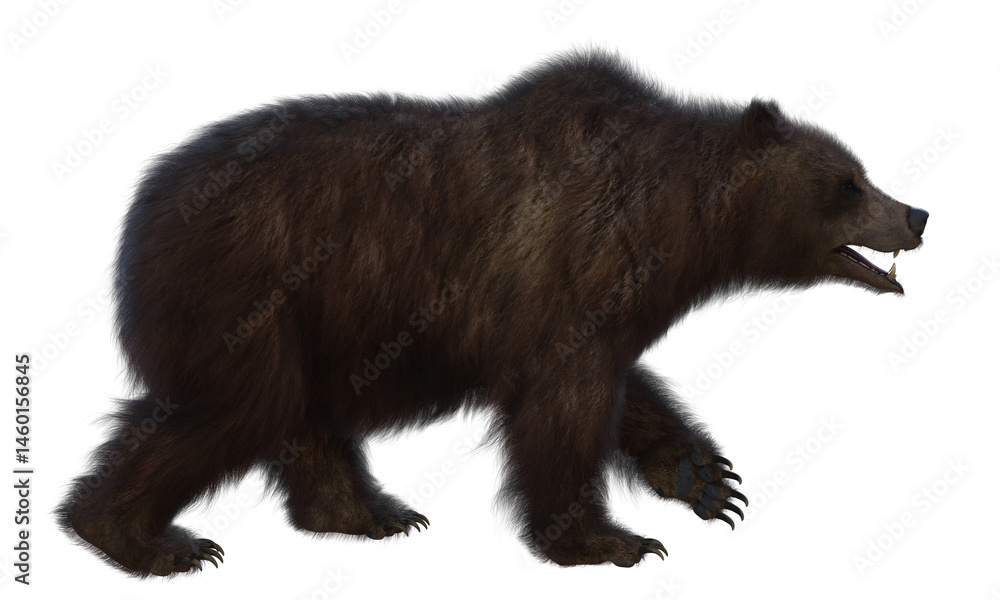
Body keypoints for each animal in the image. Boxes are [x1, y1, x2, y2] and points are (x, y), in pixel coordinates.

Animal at [58, 50, 928, 576]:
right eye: (849, 182)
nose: (917, 214)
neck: (670, 222)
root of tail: (140, 213)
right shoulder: (563, 273)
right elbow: (563, 412)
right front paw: (612, 538)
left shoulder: (593, 304)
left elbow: (621, 386)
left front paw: (706, 480)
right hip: (250, 290)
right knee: (237, 409)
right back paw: (142, 538)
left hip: (315, 322)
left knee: (299, 416)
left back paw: (370, 513)